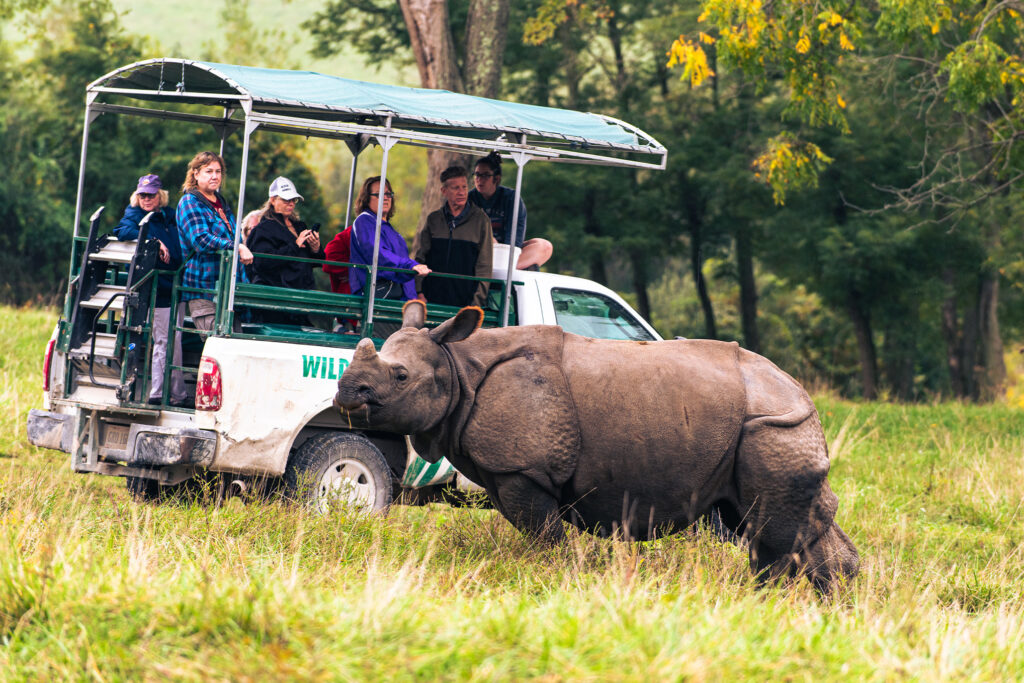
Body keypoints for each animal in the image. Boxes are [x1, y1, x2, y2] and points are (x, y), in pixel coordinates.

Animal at [335, 301, 859, 591]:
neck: (458, 364)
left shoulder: (522, 470)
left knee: (772, 532)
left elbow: (544, 536)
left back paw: (771, 600)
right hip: (770, 427)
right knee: (778, 524)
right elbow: (537, 530)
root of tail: (803, 395)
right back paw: (825, 606)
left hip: (772, 427)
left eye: (400, 377)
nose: (344, 393)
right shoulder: (511, 472)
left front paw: (550, 577)